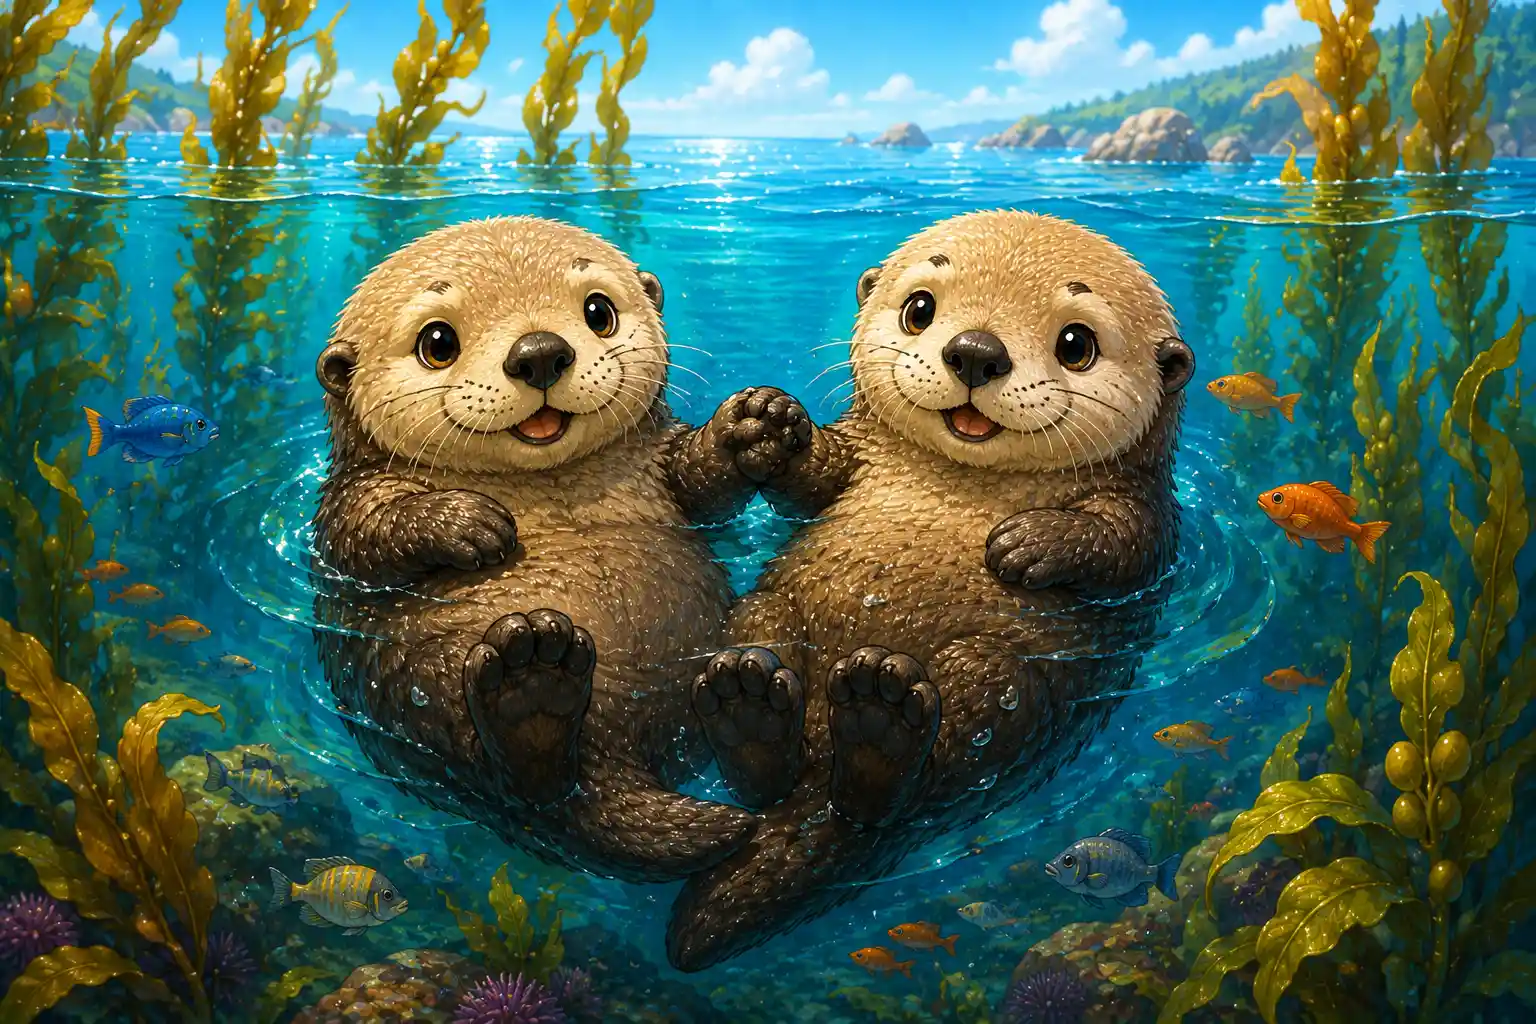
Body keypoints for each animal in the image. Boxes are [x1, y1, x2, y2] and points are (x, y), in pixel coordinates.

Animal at [311, 217, 813, 882]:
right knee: (517, 780)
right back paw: (531, 692)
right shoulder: (352, 493)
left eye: (599, 311)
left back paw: (749, 712)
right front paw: (470, 522)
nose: (539, 352)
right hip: (423, 681)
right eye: (437, 342)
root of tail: (623, 753)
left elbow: (699, 484)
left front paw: (755, 423)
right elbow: (363, 538)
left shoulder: (658, 461)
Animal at [666, 210, 1195, 969]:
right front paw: (769, 422)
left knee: (921, 773)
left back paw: (878, 725)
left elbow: (1128, 549)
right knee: (764, 703)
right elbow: (815, 482)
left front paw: (1028, 542)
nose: (975, 352)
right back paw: (752, 710)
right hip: (769, 617)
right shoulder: (855, 457)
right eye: (920, 309)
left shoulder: (1147, 506)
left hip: (1002, 690)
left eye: (1076, 344)